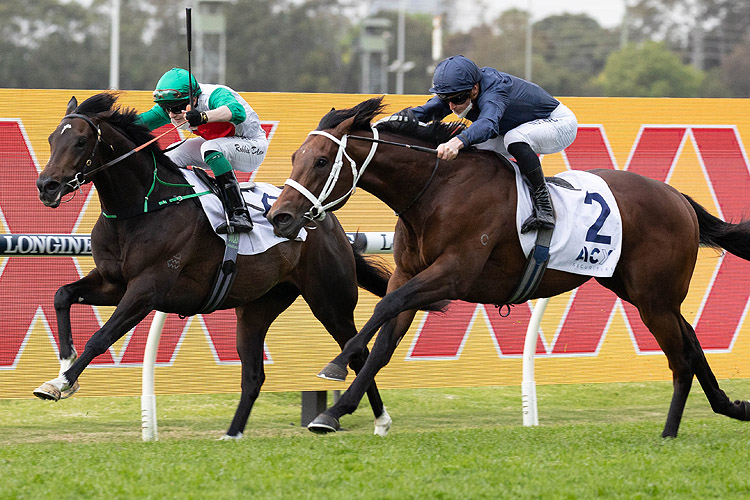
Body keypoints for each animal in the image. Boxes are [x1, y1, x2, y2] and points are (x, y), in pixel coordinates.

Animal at [33, 93, 394, 438]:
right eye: (51, 138)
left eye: (81, 141)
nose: (47, 186)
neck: (142, 207)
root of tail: (326, 219)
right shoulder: (113, 283)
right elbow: (62, 295)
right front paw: (64, 365)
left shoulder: (146, 289)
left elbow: (101, 337)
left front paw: (61, 383)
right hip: (258, 308)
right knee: (253, 376)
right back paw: (233, 435)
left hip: (330, 302)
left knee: (358, 354)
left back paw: (372, 420)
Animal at [274, 96, 750, 438]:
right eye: (296, 155)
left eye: (321, 161)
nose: (280, 216)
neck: (437, 189)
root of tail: (676, 197)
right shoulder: (410, 274)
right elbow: (385, 342)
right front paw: (336, 411)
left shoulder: (452, 273)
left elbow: (382, 310)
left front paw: (336, 366)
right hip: (642, 293)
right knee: (691, 343)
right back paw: (731, 407)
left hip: (654, 298)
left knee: (681, 358)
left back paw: (669, 432)